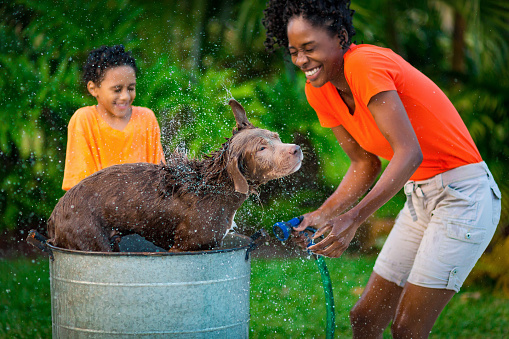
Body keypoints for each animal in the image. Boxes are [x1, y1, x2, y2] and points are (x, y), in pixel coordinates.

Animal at [46, 98, 302, 252]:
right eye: (261, 149)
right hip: (90, 238)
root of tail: (53, 217)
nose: (297, 149)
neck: (215, 188)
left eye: (276, 136)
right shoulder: (183, 247)